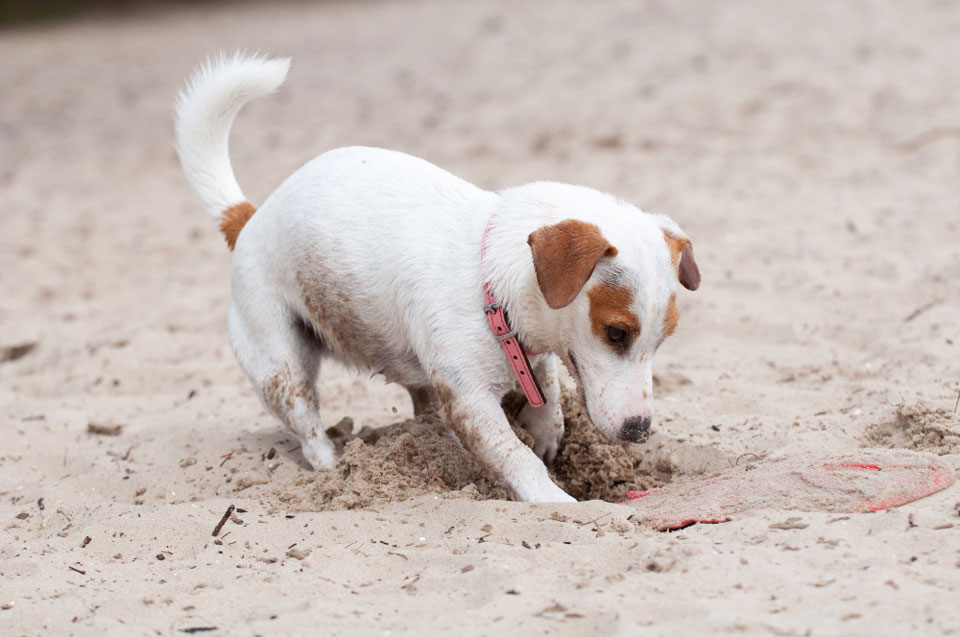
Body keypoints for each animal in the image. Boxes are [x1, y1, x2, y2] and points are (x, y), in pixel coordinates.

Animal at [174, 53, 696, 502]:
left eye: (663, 338)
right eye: (615, 333)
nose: (639, 432)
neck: (490, 286)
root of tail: (249, 219)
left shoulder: (534, 360)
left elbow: (548, 404)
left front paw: (548, 436)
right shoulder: (470, 401)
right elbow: (517, 457)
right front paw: (557, 500)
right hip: (280, 364)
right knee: (308, 426)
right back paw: (334, 467)